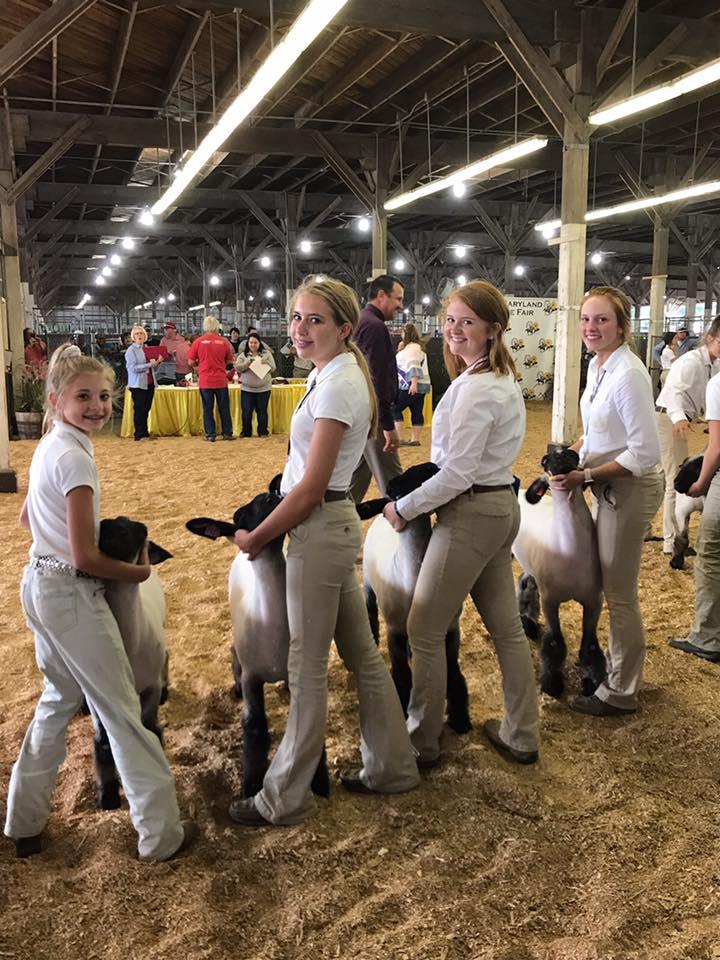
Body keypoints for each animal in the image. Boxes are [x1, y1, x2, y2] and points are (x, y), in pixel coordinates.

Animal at [187, 484, 330, 800]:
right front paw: (251, 785)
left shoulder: (298, 670)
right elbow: (254, 726)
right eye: (239, 516)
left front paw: (319, 781)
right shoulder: (253, 677)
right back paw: (235, 686)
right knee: (233, 652)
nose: (271, 495)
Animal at [356, 464, 470, 736]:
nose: (434, 466)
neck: (411, 578)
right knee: (370, 610)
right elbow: (402, 676)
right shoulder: (395, 631)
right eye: (396, 491)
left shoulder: (451, 629)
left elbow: (453, 672)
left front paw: (460, 718)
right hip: (368, 584)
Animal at [512, 450, 608, 696]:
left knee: (526, 582)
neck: (570, 548)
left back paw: (528, 623)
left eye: (573, 456)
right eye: (546, 460)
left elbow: (590, 645)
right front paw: (553, 683)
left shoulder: (594, 599)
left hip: (531, 565)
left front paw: (591, 683)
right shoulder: (551, 600)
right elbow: (555, 642)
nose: (563, 455)